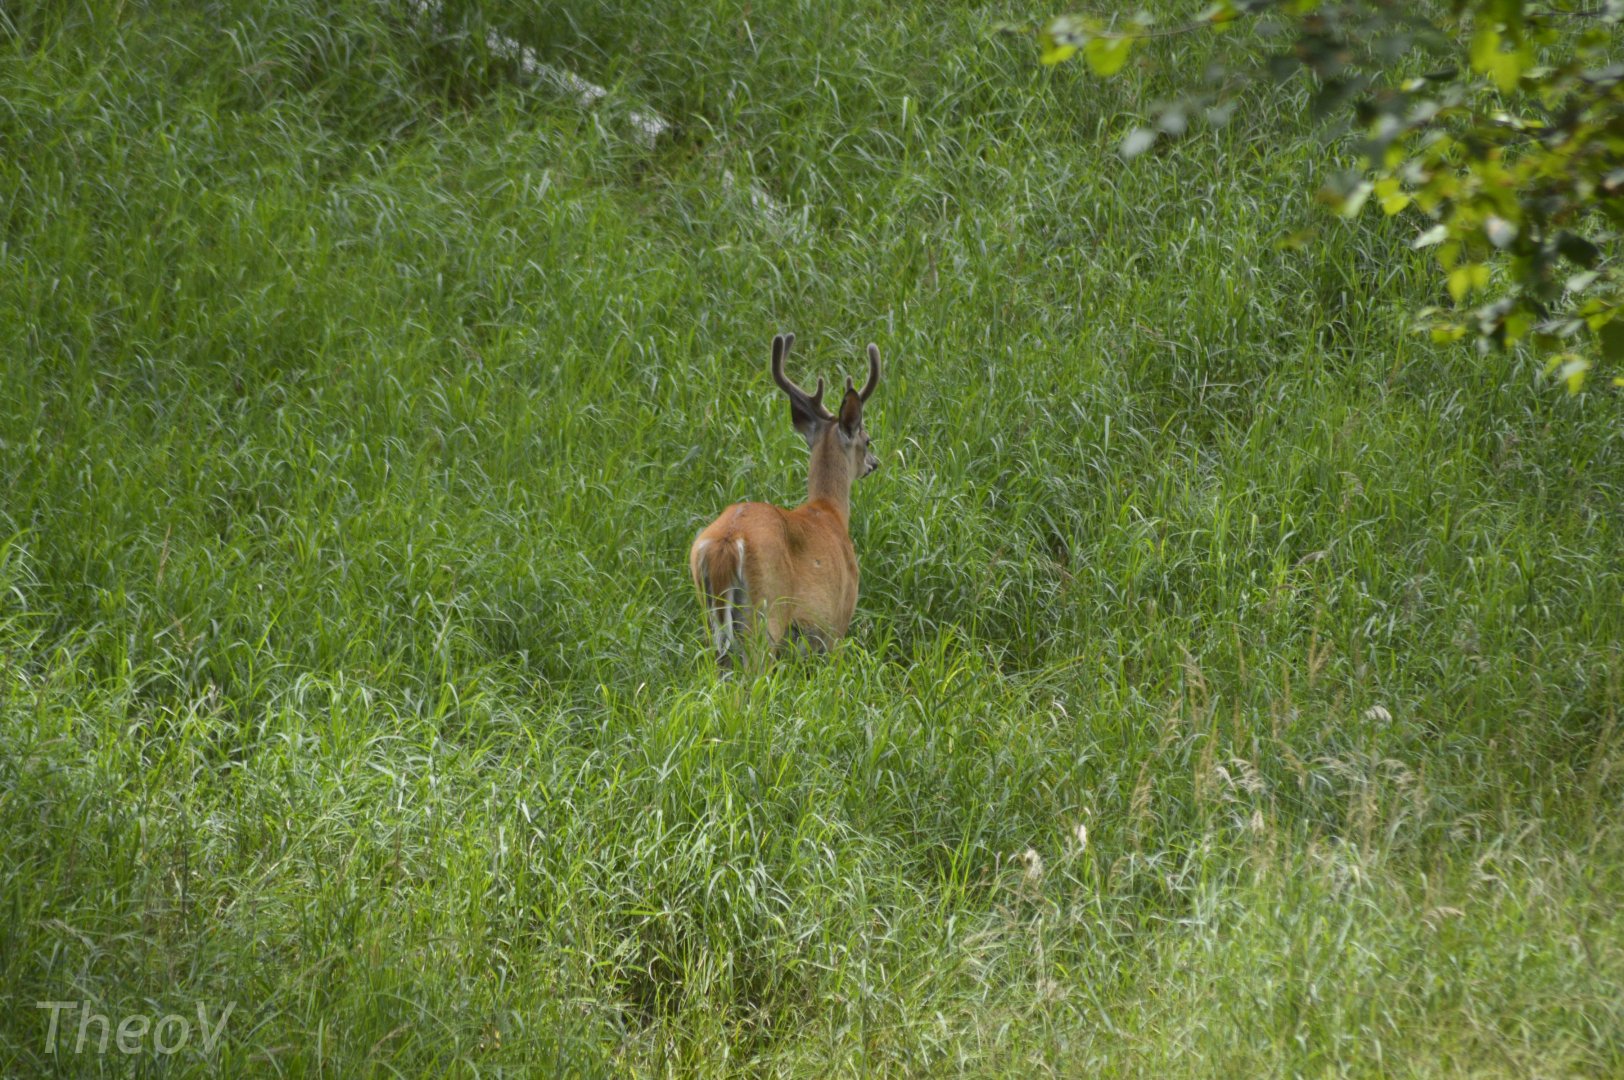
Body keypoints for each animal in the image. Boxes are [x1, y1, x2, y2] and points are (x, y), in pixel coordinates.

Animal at [688, 332, 882, 669]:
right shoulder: (837, 621)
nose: (874, 463)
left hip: (708, 613)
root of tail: (726, 543)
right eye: (866, 439)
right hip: (765, 615)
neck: (829, 512)